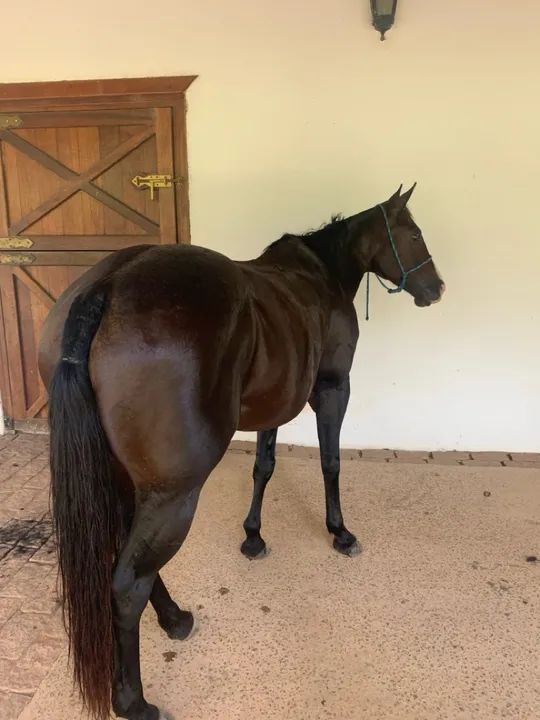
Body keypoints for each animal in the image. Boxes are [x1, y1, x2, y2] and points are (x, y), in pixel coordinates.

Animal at [38, 184, 445, 720]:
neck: (320, 275)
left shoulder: (274, 404)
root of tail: (106, 287)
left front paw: (253, 536)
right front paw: (339, 531)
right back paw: (134, 701)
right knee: (127, 583)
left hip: (127, 482)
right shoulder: (333, 389)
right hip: (172, 495)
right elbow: (330, 463)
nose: (436, 289)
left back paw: (174, 618)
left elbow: (264, 467)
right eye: (414, 232)